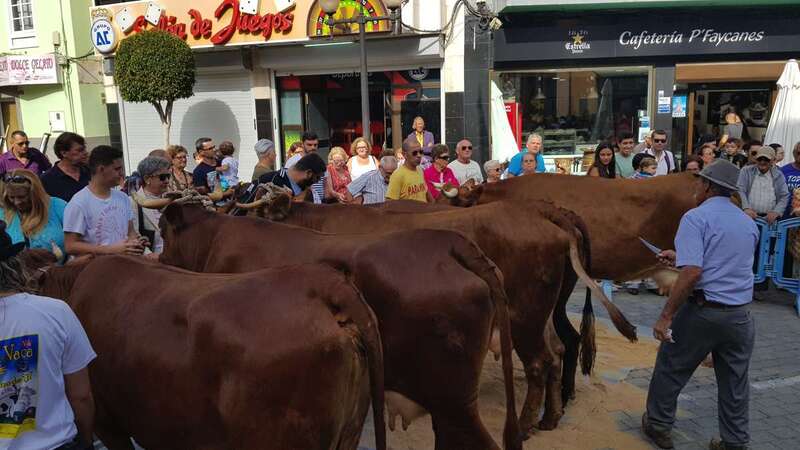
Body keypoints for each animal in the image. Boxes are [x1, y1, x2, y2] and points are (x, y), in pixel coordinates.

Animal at [238, 191, 637, 435]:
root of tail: (545, 212)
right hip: (545, 312)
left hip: (526, 315)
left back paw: (527, 424)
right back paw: (554, 413)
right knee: (561, 346)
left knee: (542, 360)